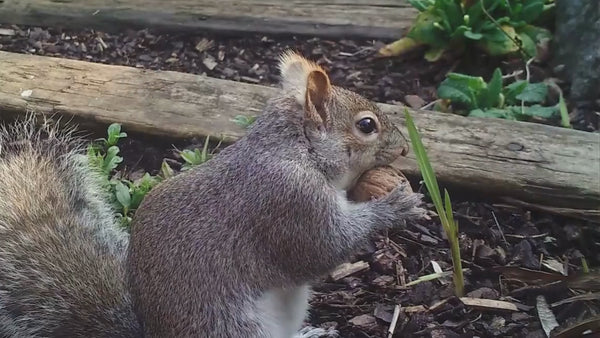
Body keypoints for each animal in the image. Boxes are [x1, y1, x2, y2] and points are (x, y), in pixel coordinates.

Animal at [0, 50, 426, 338]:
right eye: (366, 125)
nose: (405, 148)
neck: (298, 150)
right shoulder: (288, 201)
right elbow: (323, 248)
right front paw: (394, 205)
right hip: (233, 327)